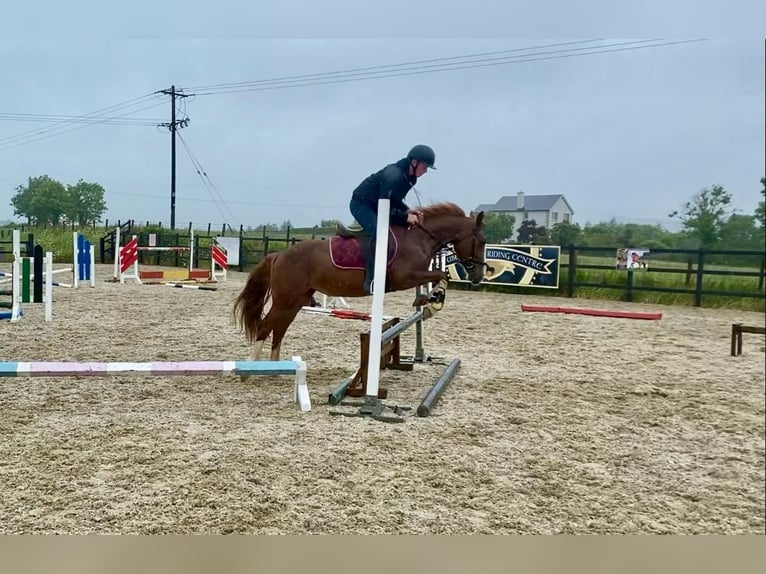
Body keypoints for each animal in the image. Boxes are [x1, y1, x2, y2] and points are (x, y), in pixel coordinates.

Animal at [231, 205, 488, 362]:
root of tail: (278, 255)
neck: (420, 237)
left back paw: (275, 368)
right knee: (266, 327)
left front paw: (429, 300)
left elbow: (441, 276)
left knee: (279, 329)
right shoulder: (406, 276)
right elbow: (441, 275)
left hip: (294, 301)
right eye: (482, 240)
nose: (478, 276)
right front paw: (432, 302)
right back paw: (251, 368)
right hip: (285, 300)